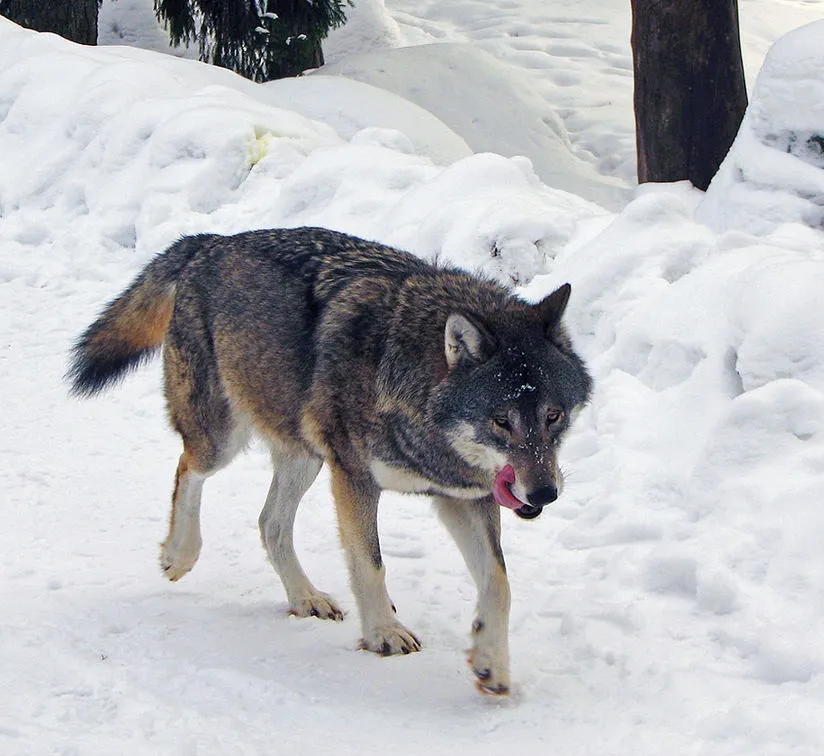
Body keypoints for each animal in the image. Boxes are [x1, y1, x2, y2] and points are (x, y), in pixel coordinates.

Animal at [67, 226, 591, 695]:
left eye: (553, 415)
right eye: (502, 421)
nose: (545, 494)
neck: (406, 382)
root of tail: (211, 241)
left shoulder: (464, 496)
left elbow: (499, 584)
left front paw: (491, 663)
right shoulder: (354, 478)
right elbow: (370, 564)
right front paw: (384, 634)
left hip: (304, 456)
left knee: (269, 523)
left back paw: (305, 597)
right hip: (224, 440)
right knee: (187, 468)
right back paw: (179, 555)